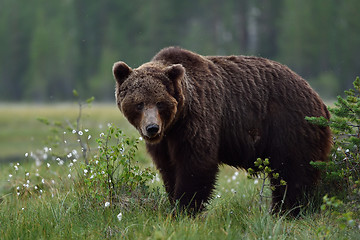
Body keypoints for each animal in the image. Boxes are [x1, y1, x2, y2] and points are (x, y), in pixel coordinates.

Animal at [112, 46, 332, 215]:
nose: (152, 128)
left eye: (160, 103)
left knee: (293, 172)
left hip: (289, 126)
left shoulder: (199, 120)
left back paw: (287, 210)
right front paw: (173, 200)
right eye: (139, 104)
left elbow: (196, 164)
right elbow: (168, 168)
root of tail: (319, 99)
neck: (177, 120)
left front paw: (185, 208)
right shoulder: (166, 141)